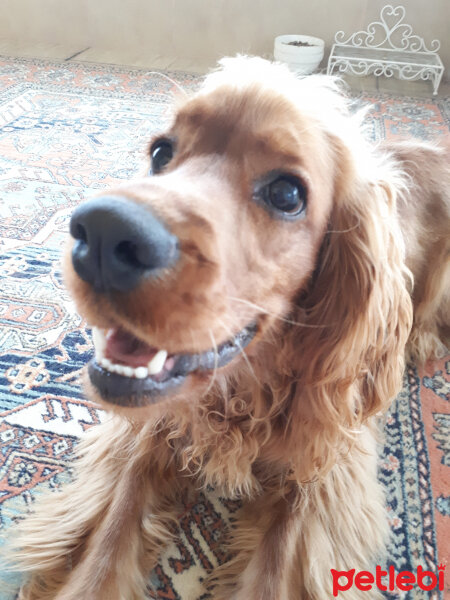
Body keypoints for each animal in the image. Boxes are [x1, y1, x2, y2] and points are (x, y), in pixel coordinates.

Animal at [10, 56, 450, 600]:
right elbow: (109, 542)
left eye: (286, 193)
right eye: (161, 152)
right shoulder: (149, 433)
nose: (102, 233)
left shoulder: (323, 471)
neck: (242, 391)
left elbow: (275, 571)